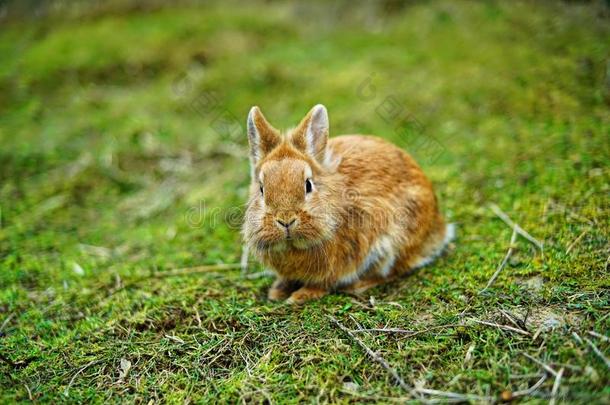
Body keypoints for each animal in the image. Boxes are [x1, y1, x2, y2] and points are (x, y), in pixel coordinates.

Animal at [241, 104, 452, 304]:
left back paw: (357, 285)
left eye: (308, 185)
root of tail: (438, 228)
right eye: (262, 189)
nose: (286, 220)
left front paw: (300, 296)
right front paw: (277, 291)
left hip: (394, 243)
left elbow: (324, 283)